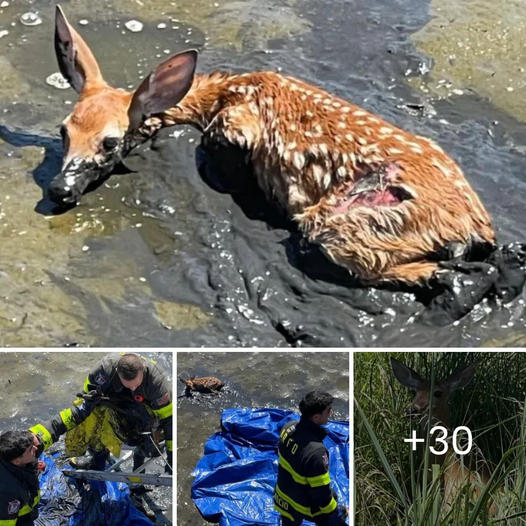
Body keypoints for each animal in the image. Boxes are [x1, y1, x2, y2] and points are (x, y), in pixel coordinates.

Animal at [49, 5, 520, 322]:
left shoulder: (235, 126)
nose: (58, 189)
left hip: (347, 222)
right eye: (63, 130)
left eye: (110, 143)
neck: (221, 93)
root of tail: (478, 226)